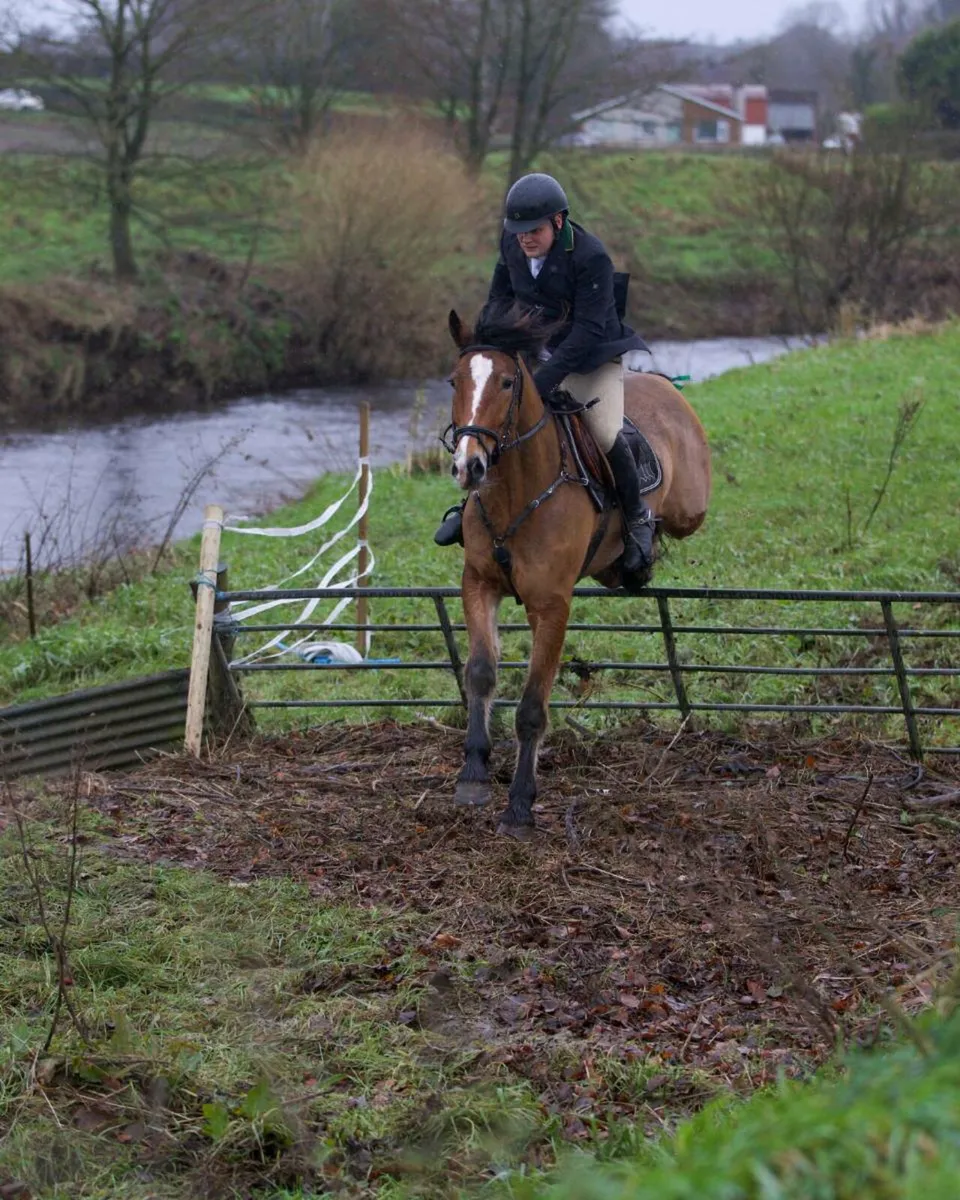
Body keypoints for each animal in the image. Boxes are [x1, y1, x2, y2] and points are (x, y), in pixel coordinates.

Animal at [442, 304, 712, 838]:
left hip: (691, 507)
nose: (470, 466)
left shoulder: (552, 605)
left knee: (674, 513)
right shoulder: (478, 584)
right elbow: (480, 674)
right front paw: (473, 774)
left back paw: (644, 543)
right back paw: (632, 562)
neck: (515, 493)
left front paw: (520, 805)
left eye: (507, 382)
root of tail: (662, 384)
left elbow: (531, 708)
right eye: (454, 381)